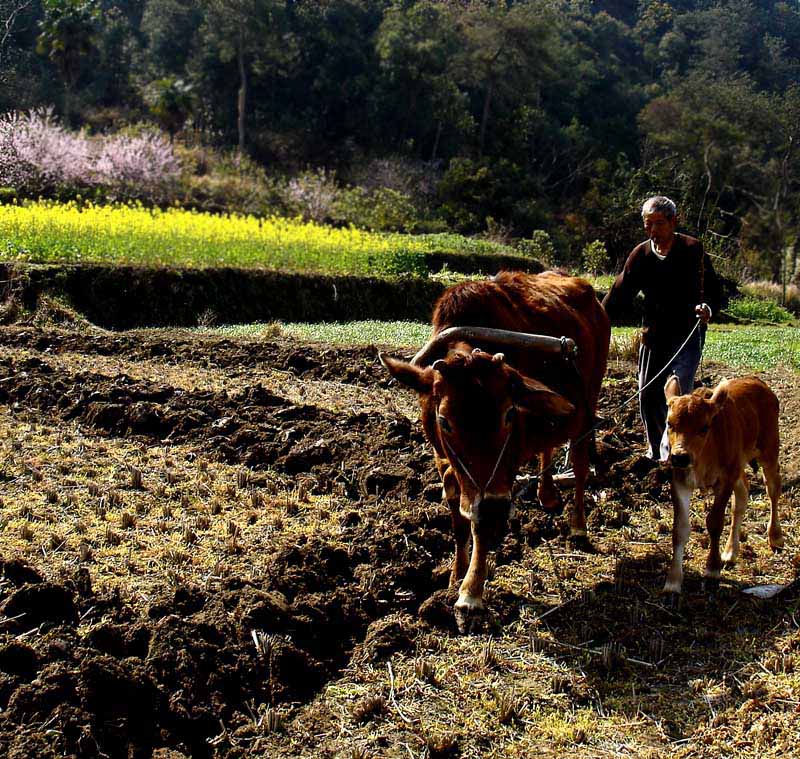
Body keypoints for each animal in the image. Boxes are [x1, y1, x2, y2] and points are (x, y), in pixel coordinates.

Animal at [664, 374, 780, 592]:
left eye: (704, 427)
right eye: (670, 424)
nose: (680, 457)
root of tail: (757, 380)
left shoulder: (725, 480)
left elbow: (715, 522)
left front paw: (712, 570)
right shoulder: (680, 481)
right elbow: (680, 528)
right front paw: (673, 581)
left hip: (769, 449)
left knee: (773, 489)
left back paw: (776, 536)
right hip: (739, 463)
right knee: (742, 496)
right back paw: (730, 551)